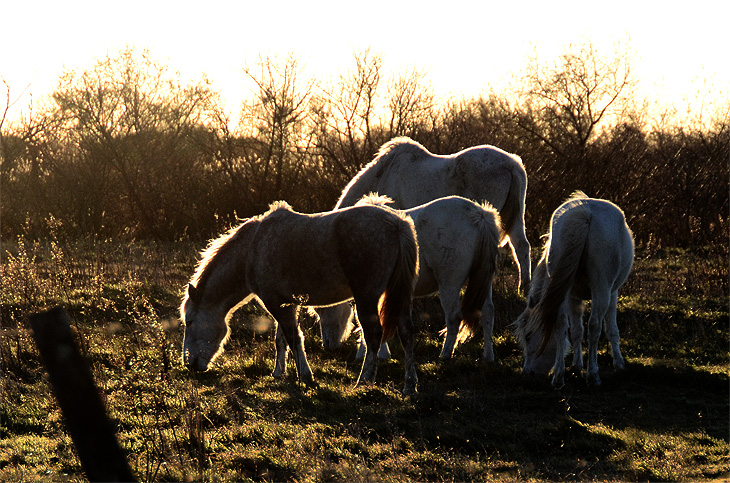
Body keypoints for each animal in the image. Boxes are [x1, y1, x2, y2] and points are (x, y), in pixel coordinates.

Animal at [179, 202, 420, 396]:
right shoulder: (286, 304)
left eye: (189, 322)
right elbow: (281, 339)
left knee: (374, 336)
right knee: (407, 333)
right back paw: (409, 386)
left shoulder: (277, 304)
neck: (252, 250)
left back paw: (364, 381)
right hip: (400, 297)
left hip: (366, 299)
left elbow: (294, 338)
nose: (189, 364)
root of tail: (398, 224)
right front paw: (279, 373)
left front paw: (305, 376)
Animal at [318, 195, 500, 362]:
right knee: (487, 311)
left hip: (450, 283)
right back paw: (488, 356)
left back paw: (445, 355)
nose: (327, 346)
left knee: (454, 316)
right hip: (482, 280)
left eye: (322, 308)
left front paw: (373, 354)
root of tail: (479, 215)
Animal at [512, 193, 632, 390]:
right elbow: (610, 328)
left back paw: (559, 377)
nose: (527, 373)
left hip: (568, 291)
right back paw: (593, 375)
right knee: (594, 326)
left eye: (528, 337)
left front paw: (577, 366)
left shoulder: (572, 296)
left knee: (561, 324)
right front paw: (618, 363)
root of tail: (586, 213)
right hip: (601, 289)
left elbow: (576, 330)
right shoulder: (611, 292)